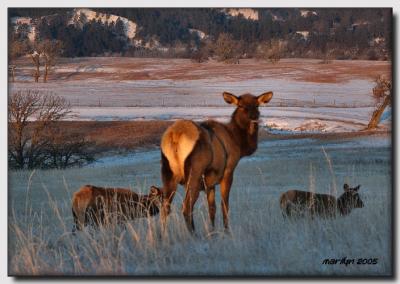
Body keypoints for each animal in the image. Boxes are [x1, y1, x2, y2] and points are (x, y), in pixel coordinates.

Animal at [159, 91, 272, 233]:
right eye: (241, 106)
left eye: (257, 105)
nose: (254, 116)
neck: (239, 143)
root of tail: (175, 136)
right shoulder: (228, 172)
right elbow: (225, 206)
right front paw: (226, 231)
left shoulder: (210, 182)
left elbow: (212, 209)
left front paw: (213, 232)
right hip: (194, 173)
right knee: (186, 207)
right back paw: (193, 234)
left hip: (167, 171)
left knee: (165, 207)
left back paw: (164, 235)